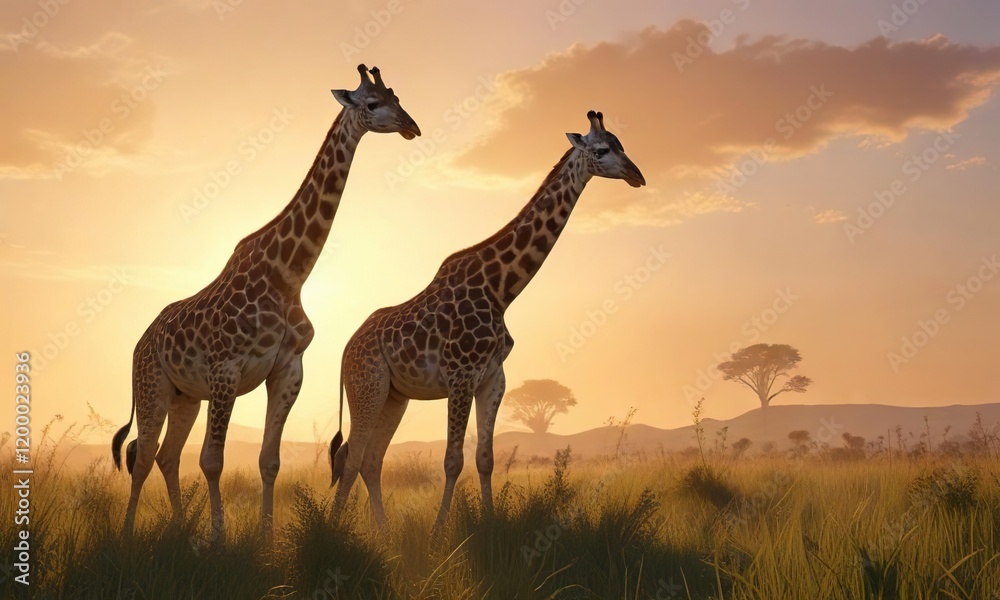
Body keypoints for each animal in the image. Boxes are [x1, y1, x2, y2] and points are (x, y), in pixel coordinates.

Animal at [111, 65, 420, 542]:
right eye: (371, 103)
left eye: (397, 98)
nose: (411, 126)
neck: (288, 275)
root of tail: (140, 342)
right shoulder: (226, 369)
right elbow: (212, 461)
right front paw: (219, 539)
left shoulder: (288, 369)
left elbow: (268, 461)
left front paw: (267, 538)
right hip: (152, 383)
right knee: (142, 456)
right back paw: (128, 535)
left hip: (185, 395)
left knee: (166, 456)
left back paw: (181, 530)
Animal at [329, 110, 645, 529]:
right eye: (603, 149)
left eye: (622, 145)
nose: (637, 174)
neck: (501, 290)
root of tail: (346, 349)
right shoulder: (461, 375)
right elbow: (452, 460)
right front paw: (438, 533)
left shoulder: (493, 378)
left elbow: (485, 459)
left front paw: (490, 525)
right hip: (367, 385)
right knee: (350, 457)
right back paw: (333, 531)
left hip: (395, 396)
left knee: (370, 459)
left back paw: (383, 533)